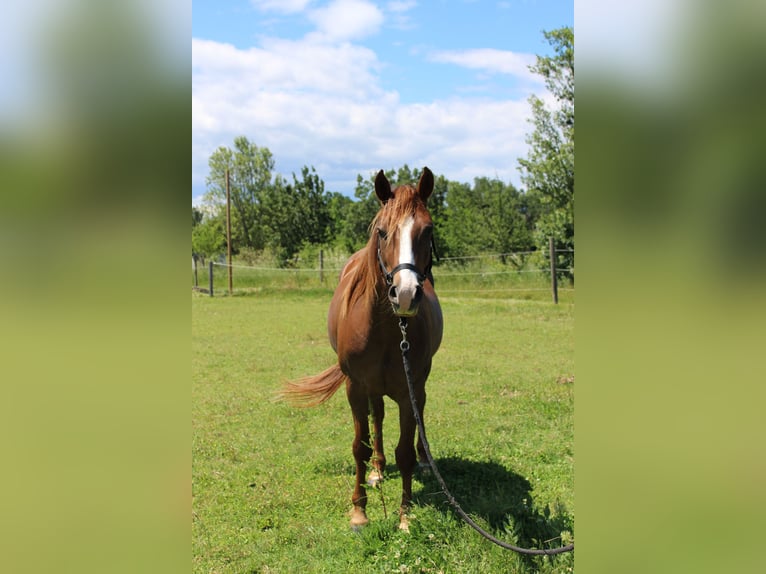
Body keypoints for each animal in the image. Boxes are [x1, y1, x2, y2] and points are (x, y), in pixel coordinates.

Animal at [284, 166, 444, 532]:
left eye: (427, 230)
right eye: (382, 232)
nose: (405, 294)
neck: (387, 331)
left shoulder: (409, 390)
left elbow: (405, 452)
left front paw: (405, 515)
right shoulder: (355, 387)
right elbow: (360, 445)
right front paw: (359, 511)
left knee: (419, 413)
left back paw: (423, 459)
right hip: (372, 388)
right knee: (378, 418)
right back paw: (377, 469)